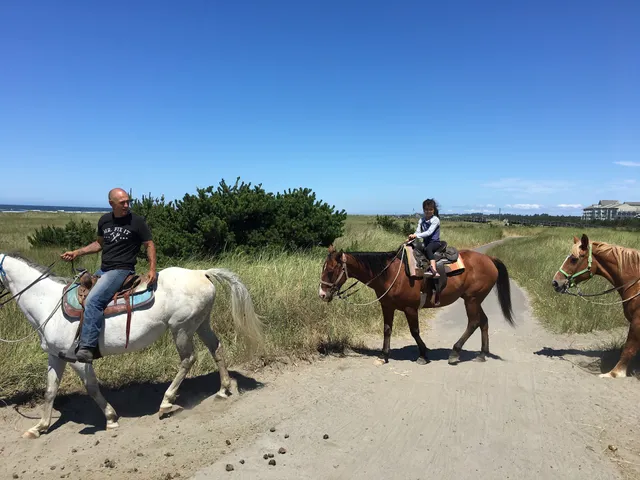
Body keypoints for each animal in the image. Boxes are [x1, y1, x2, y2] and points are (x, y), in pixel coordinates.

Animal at [0, 253, 263, 438]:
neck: (48, 303)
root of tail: (202, 273)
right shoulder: (56, 356)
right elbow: (50, 391)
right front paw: (39, 427)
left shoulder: (77, 359)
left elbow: (92, 388)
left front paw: (110, 418)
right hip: (201, 323)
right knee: (216, 348)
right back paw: (224, 389)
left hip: (182, 329)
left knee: (188, 359)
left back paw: (166, 402)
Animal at [318, 244, 514, 364]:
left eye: (330, 271)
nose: (322, 294)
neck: (391, 273)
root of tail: (489, 259)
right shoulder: (387, 306)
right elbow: (387, 329)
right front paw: (383, 355)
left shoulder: (410, 309)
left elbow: (414, 331)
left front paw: (423, 354)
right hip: (474, 300)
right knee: (484, 321)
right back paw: (482, 354)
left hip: (471, 300)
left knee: (473, 323)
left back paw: (455, 352)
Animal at [552, 234, 640, 378]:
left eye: (574, 259)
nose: (555, 282)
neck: (637, 285)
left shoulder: (636, 322)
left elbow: (628, 349)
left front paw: (615, 373)